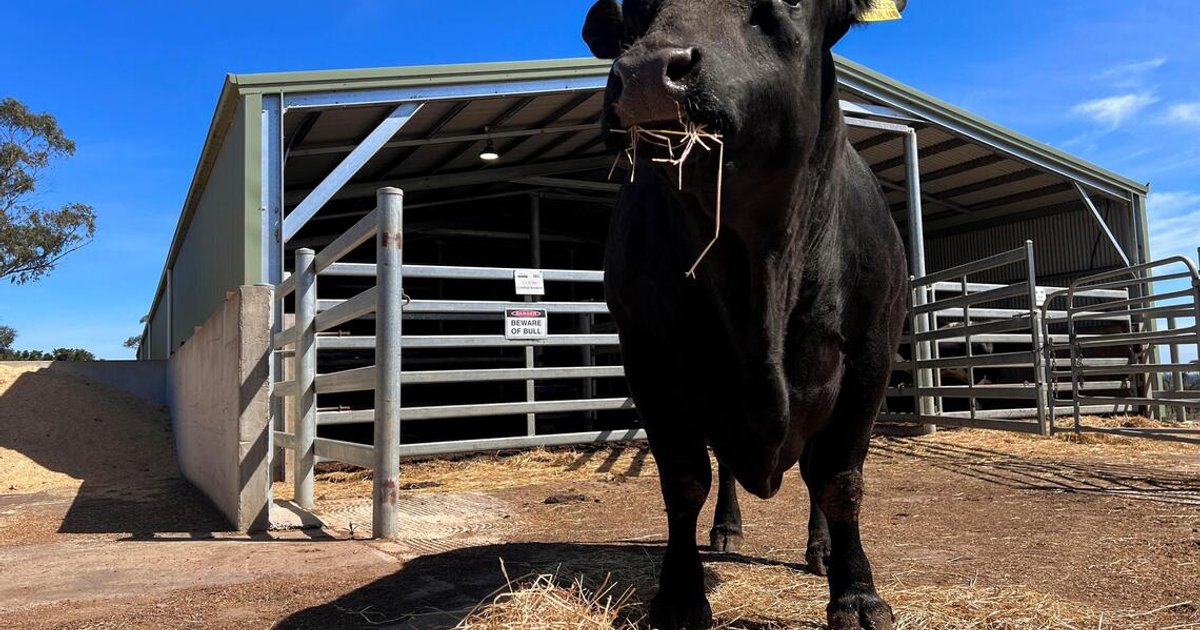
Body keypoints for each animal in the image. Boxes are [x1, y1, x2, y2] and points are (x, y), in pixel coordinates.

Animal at [581, 1, 910, 629]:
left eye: (788, 6)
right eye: (633, 12)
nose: (645, 73)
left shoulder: (870, 352)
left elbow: (840, 481)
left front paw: (856, 595)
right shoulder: (647, 355)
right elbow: (684, 479)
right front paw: (680, 596)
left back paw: (820, 550)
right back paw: (727, 530)